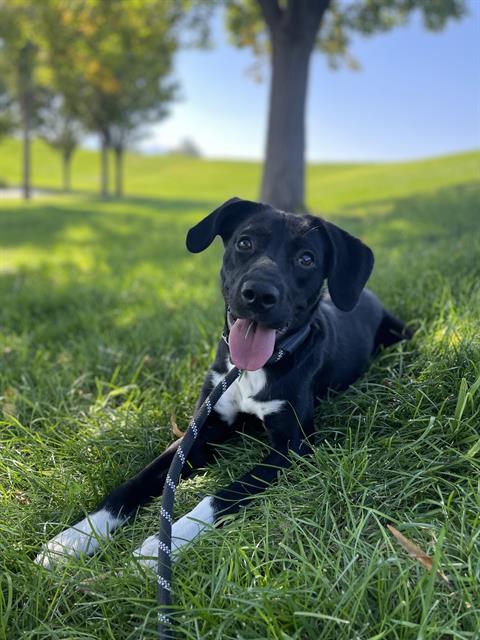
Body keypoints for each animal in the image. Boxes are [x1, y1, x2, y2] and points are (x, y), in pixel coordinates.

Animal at [35, 198, 406, 568]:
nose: (258, 294)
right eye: (244, 242)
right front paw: (75, 537)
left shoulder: (294, 447)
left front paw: (162, 544)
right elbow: (136, 482)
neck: (249, 371)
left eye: (306, 259)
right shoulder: (202, 429)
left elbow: (221, 495)